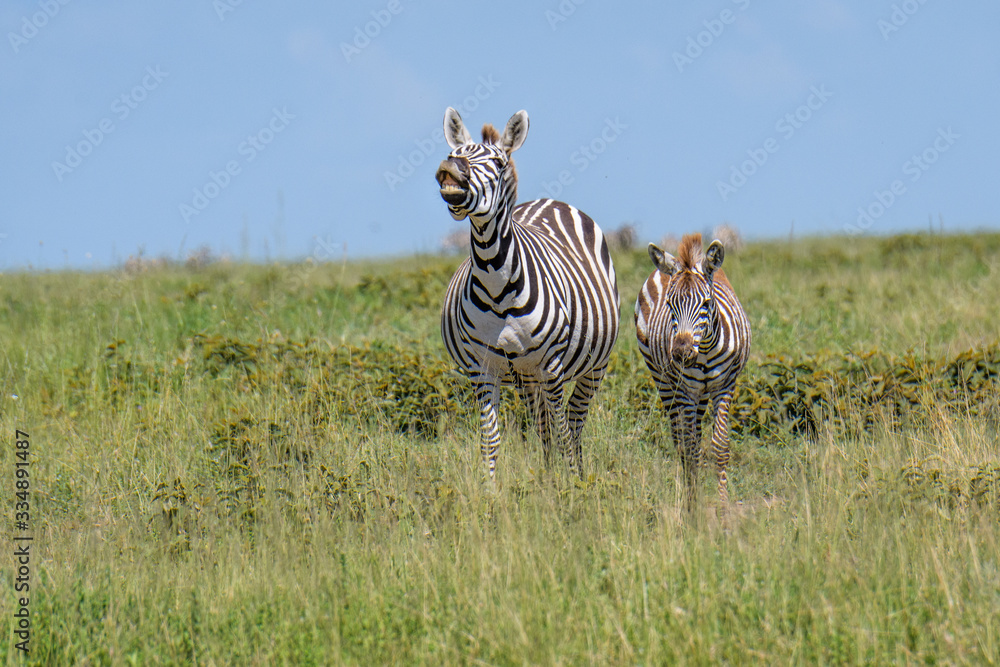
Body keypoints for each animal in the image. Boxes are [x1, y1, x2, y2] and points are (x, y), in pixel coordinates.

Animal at [435, 107, 620, 480]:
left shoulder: (552, 364)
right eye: (453, 153)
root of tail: (548, 202)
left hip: (592, 366)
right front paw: (490, 491)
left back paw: (576, 476)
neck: (496, 281)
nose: (450, 168)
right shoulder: (483, 368)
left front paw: (570, 489)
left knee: (573, 423)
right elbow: (490, 439)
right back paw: (548, 477)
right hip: (525, 375)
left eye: (498, 162)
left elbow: (563, 432)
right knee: (543, 425)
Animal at [634, 233, 751, 509]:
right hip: (664, 381)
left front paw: (722, 506)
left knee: (694, 433)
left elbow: (720, 446)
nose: (681, 353)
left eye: (707, 304)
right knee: (681, 439)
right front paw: (691, 505)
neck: (705, 350)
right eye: (669, 304)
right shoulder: (685, 391)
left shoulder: (724, 387)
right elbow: (690, 448)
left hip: (702, 393)